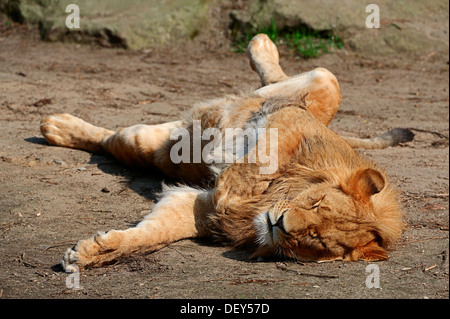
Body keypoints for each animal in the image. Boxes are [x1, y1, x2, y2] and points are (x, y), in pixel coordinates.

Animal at [40, 34, 414, 272]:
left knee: (112, 142)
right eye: (316, 203)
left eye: (317, 240)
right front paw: (231, 190)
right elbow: (258, 161)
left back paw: (56, 127)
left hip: (152, 148)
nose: (279, 224)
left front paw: (92, 253)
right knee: (304, 79)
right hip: (315, 88)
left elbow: (153, 234)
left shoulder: (199, 209)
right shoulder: (287, 121)